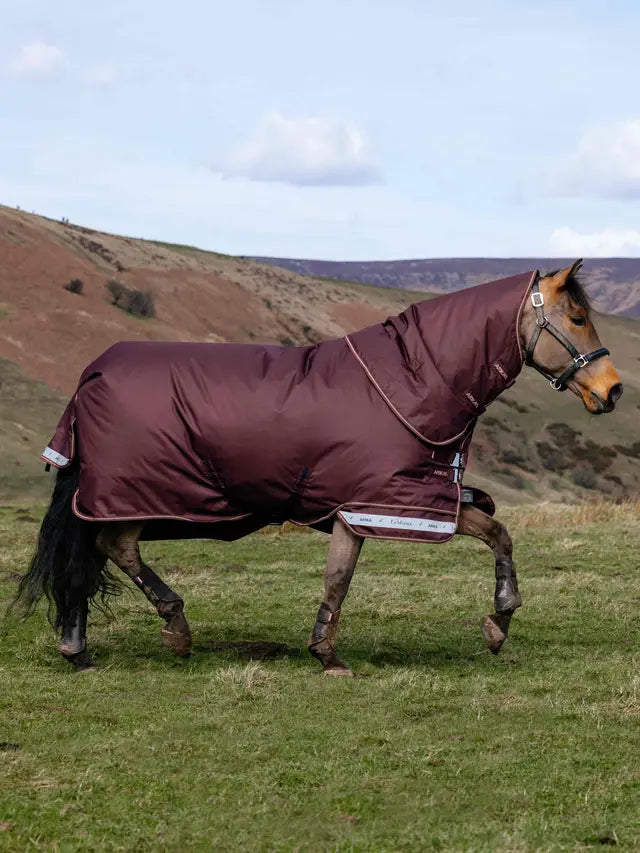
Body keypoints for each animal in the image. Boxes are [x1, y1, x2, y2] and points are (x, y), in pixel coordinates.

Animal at [14, 261, 623, 674]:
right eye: (576, 317)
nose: (612, 390)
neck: (414, 381)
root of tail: (94, 372)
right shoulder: (381, 501)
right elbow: (345, 576)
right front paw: (330, 655)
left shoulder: (391, 502)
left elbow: (495, 535)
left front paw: (496, 626)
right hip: (132, 492)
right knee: (110, 548)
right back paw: (173, 629)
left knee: (95, 553)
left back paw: (81, 647)